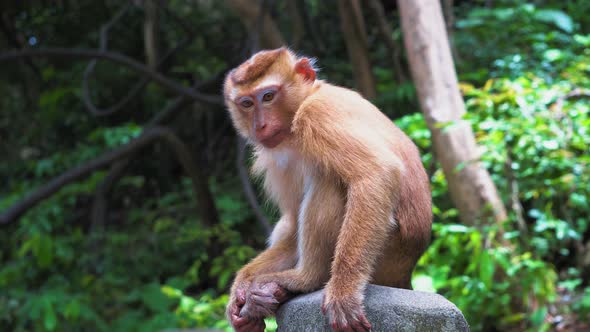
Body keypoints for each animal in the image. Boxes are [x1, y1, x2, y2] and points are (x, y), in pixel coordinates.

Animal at [224, 47, 432, 332]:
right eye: (246, 103)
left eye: (268, 96)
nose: (260, 125)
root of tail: (405, 275)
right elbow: (291, 225)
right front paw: (240, 289)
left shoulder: (319, 113)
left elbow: (377, 173)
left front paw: (343, 293)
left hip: (386, 255)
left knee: (328, 178)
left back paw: (304, 279)